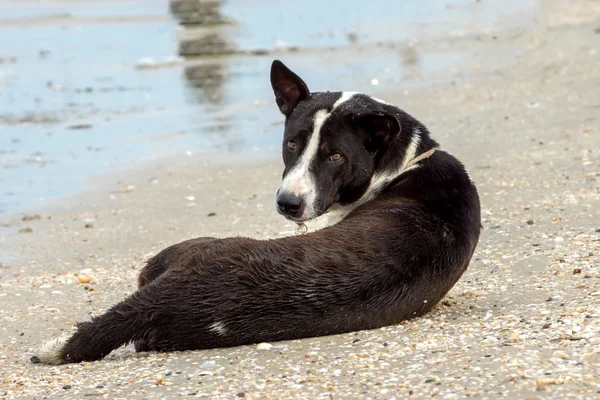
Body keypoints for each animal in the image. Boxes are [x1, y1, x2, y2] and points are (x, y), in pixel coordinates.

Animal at [34, 61, 482, 364]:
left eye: (336, 156)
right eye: (291, 144)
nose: (288, 204)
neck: (407, 162)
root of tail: (175, 301)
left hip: (181, 255)